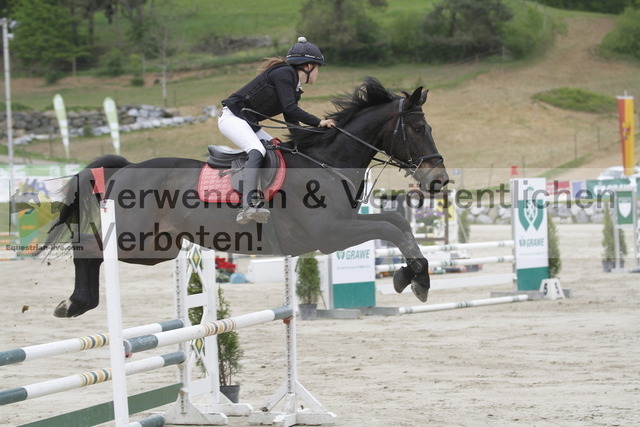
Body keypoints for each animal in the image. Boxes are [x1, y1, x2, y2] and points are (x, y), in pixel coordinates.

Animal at [45, 77, 449, 317]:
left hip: (161, 247)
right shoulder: (331, 233)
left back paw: (76, 303)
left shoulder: (342, 226)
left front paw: (412, 276)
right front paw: (416, 279)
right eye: (417, 128)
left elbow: (396, 223)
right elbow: (391, 227)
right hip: (138, 239)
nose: (439, 180)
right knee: (89, 246)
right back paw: (73, 303)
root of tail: (127, 167)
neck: (325, 162)